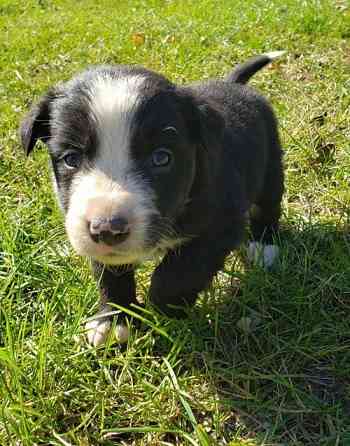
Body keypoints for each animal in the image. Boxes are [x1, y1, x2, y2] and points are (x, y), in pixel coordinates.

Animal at [20, 51, 284, 344]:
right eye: (71, 159)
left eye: (161, 158)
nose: (107, 229)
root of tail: (234, 84)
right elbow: (109, 274)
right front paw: (113, 319)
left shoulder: (222, 221)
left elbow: (182, 271)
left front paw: (164, 309)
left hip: (271, 167)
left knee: (267, 207)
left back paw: (264, 246)